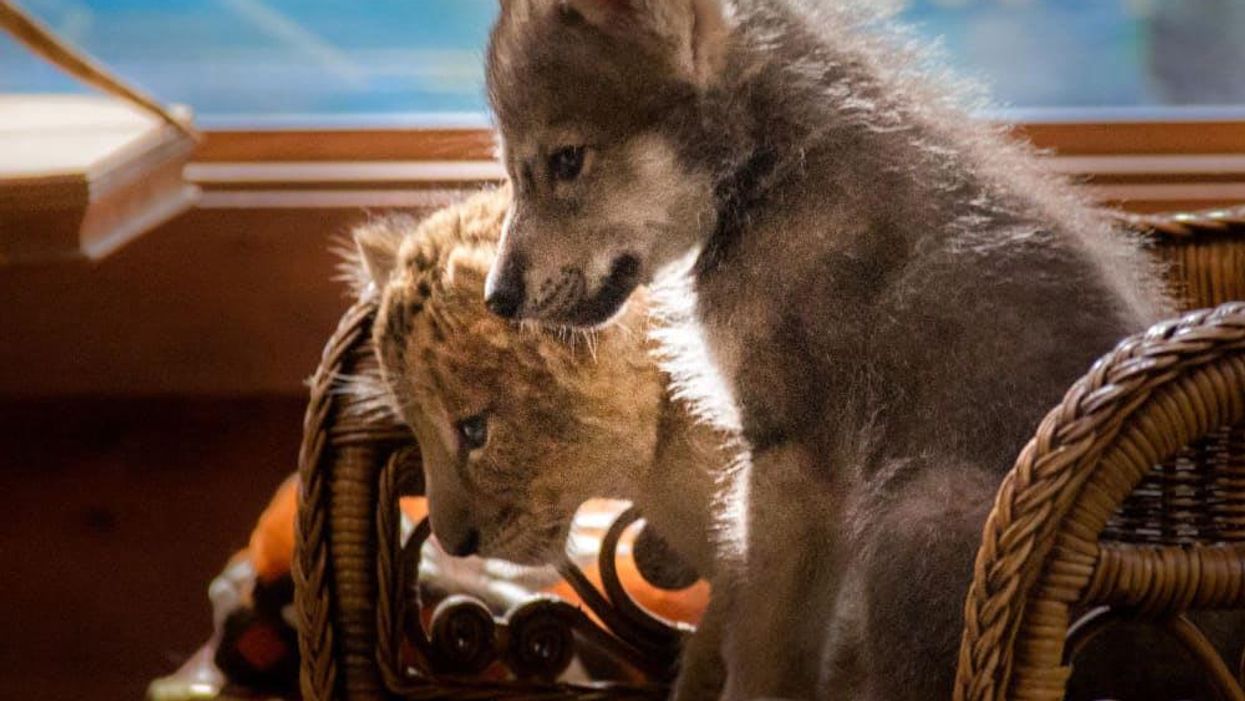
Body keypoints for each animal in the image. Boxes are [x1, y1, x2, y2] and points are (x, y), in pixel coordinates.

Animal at [483, 1, 1164, 699]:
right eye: (512, 168)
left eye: (568, 161)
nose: (496, 298)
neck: (769, 172)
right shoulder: (761, 470)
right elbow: (725, 620)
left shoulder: (795, 465)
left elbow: (762, 652)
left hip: (919, 519)